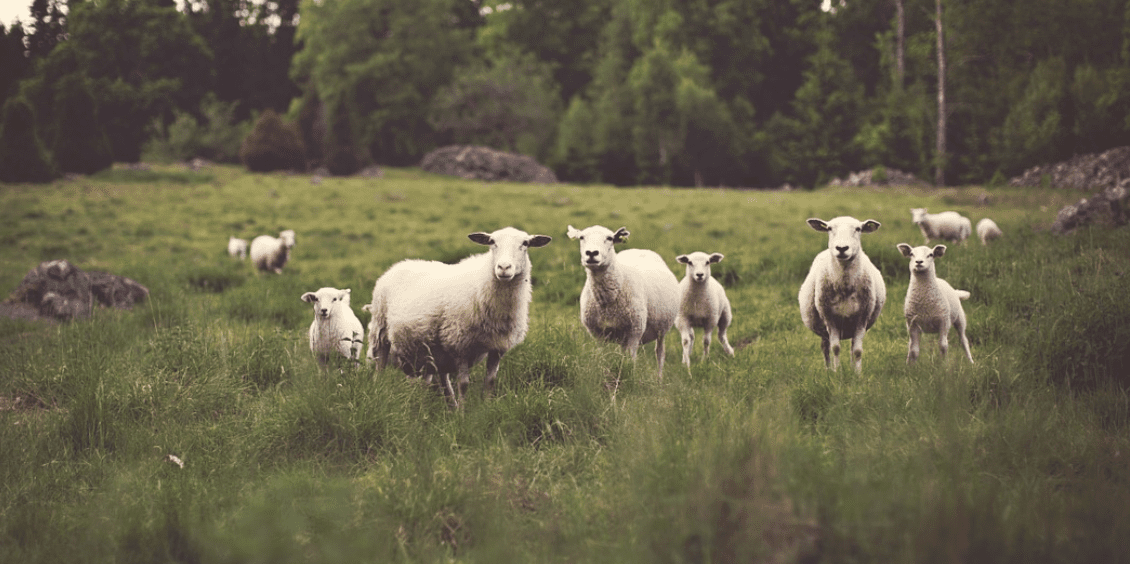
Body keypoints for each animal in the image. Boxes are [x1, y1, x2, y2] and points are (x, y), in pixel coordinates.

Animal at [364, 227, 552, 407]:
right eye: (492, 242)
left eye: (525, 243)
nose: (504, 268)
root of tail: (398, 265)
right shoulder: (460, 344)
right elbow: (463, 384)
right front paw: (462, 414)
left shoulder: (497, 347)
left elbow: (490, 382)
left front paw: (486, 409)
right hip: (381, 331)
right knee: (380, 367)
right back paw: (380, 393)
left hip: (432, 348)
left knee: (435, 378)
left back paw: (445, 405)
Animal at [566, 225, 680, 380]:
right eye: (581, 237)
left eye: (609, 238)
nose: (591, 253)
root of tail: (640, 250)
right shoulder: (598, 333)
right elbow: (602, 357)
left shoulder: (635, 331)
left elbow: (630, 361)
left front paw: (629, 378)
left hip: (662, 329)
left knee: (660, 353)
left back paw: (659, 380)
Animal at [798, 217, 887, 373]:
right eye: (829, 228)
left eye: (858, 229)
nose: (841, 248)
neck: (845, 286)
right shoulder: (829, 318)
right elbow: (835, 348)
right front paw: (837, 372)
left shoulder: (862, 318)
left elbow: (857, 351)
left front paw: (857, 374)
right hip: (824, 328)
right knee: (825, 347)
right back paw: (828, 370)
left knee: (851, 347)